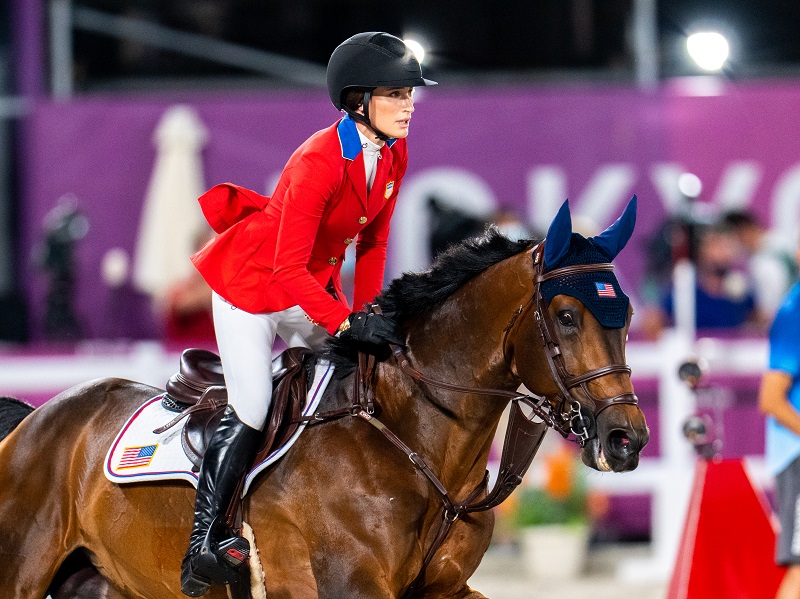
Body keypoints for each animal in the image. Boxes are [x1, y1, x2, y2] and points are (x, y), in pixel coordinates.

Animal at [0, 198, 649, 599]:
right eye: (566, 317)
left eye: (625, 315)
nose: (627, 439)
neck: (414, 439)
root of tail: (34, 421)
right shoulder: (352, 586)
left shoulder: (445, 588)